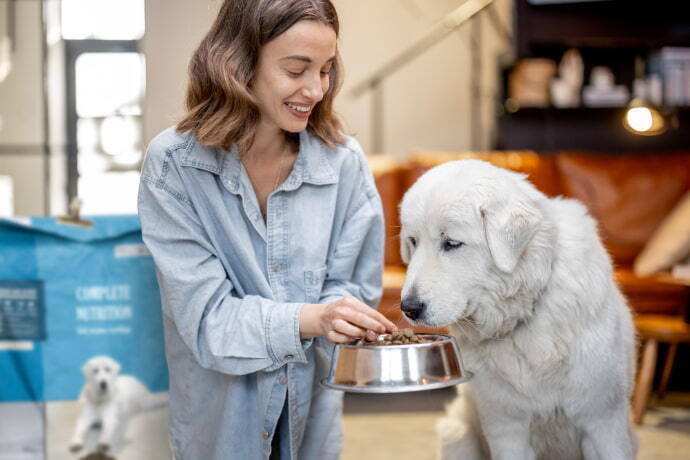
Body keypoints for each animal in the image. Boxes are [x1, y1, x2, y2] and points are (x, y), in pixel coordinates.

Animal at [398, 159, 636, 460]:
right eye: (413, 241)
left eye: (451, 243)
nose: (408, 307)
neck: (526, 312)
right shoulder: (506, 430)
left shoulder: (604, 422)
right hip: (457, 436)